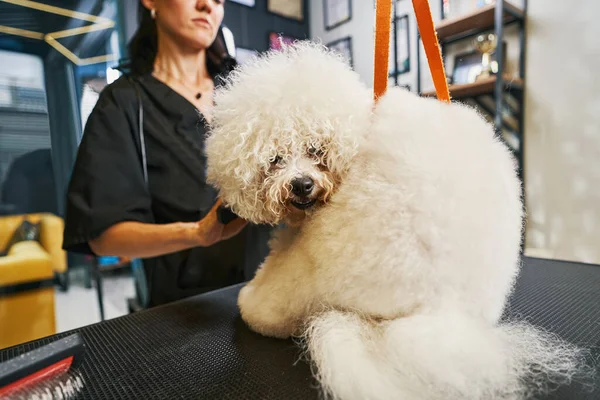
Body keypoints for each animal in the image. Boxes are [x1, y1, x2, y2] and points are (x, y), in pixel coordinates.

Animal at [204, 41, 588, 400]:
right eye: (274, 160)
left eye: (316, 150)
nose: (301, 184)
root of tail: (438, 304)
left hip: (316, 268)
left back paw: (255, 306)